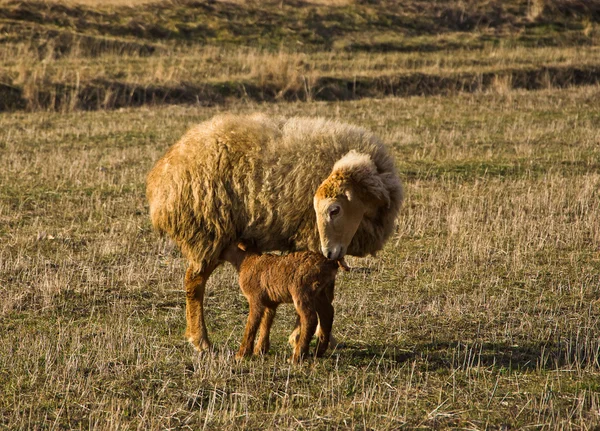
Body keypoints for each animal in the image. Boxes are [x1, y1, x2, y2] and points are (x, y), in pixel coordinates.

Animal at [145, 113, 404, 352]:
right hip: (208, 231)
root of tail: (161, 178)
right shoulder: (311, 238)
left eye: (334, 209)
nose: (329, 251)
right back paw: (201, 341)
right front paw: (303, 336)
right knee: (194, 282)